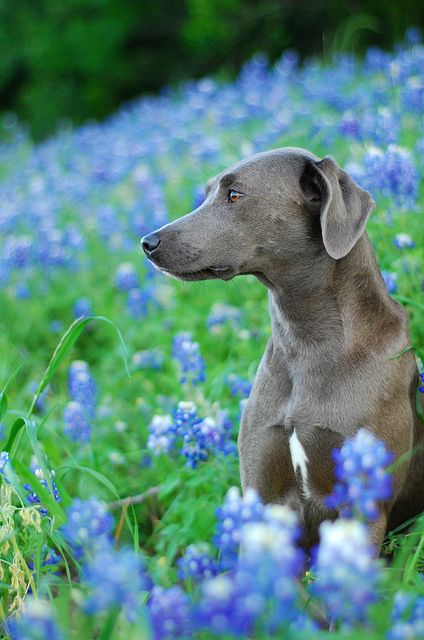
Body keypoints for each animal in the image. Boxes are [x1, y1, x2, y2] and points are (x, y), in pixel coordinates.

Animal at [142, 148, 424, 548]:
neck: (308, 341)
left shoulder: (364, 502)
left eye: (235, 195)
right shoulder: (263, 488)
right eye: (208, 192)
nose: (147, 243)